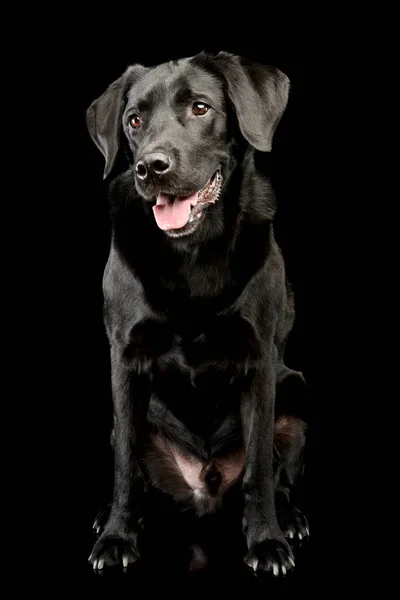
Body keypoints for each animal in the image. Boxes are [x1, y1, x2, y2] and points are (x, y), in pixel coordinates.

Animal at [86, 51, 308, 576]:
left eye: (201, 108)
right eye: (134, 120)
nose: (151, 167)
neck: (192, 253)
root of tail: (201, 488)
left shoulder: (260, 362)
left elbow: (259, 468)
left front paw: (267, 540)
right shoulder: (123, 360)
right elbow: (125, 467)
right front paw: (116, 536)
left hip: (295, 398)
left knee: (278, 473)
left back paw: (288, 518)